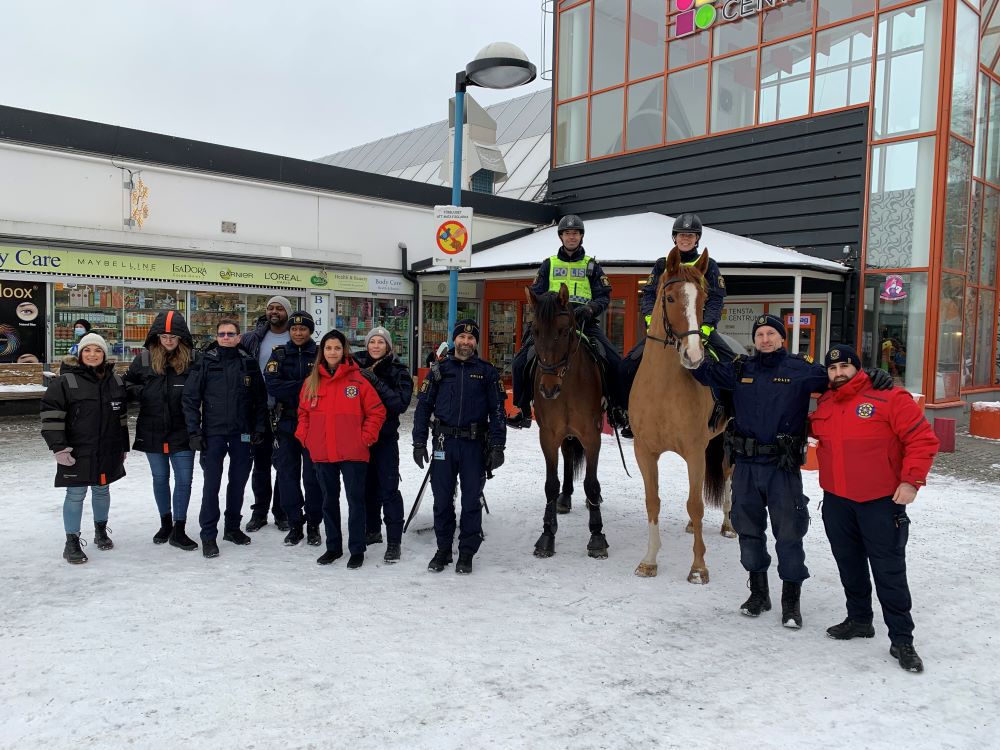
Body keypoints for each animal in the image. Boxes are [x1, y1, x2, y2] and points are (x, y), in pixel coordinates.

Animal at [532, 284, 608, 560]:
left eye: (564, 331)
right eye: (535, 330)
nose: (548, 388)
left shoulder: (592, 436)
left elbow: (591, 484)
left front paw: (597, 536)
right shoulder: (548, 436)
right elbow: (550, 485)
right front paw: (547, 534)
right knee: (566, 455)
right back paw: (564, 499)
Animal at [628, 250, 732, 584]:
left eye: (704, 299)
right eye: (671, 298)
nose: (694, 355)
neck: (663, 388)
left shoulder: (695, 451)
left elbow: (696, 504)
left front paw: (698, 567)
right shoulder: (645, 452)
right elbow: (653, 501)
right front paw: (649, 561)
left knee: (727, 477)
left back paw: (729, 526)